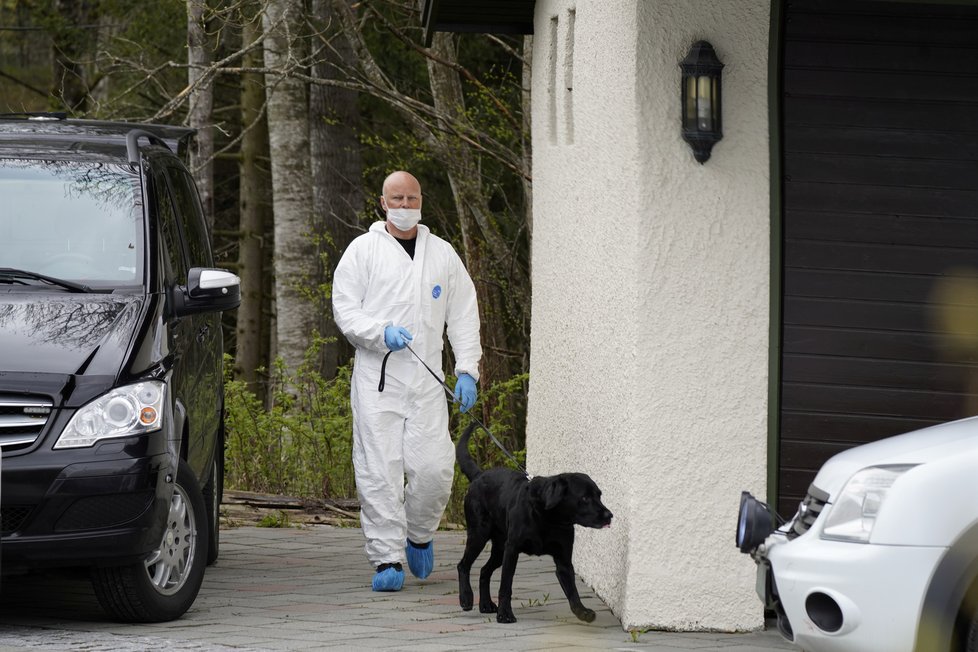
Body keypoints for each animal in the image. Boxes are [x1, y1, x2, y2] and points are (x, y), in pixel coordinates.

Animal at [452, 420, 608, 624]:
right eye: (584, 498)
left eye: (599, 495)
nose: (609, 515)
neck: (548, 519)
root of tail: (479, 476)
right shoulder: (512, 550)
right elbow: (506, 586)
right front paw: (505, 614)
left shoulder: (564, 560)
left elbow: (572, 592)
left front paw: (582, 611)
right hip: (479, 535)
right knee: (463, 565)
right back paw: (466, 598)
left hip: (499, 547)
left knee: (485, 571)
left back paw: (485, 604)